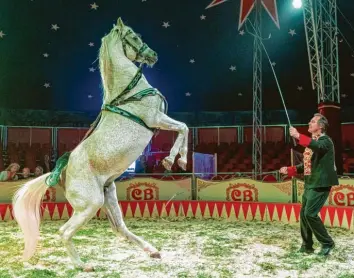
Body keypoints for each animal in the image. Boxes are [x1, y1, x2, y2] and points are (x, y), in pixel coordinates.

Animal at [11, 17, 188, 272]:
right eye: (134, 36)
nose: (153, 55)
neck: (129, 93)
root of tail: (60, 172)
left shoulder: (159, 120)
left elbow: (184, 128)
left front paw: (179, 160)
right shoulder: (156, 119)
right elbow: (183, 127)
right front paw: (174, 160)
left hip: (108, 196)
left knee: (120, 228)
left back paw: (152, 251)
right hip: (90, 204)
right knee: (64, 232)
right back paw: (83, 265)